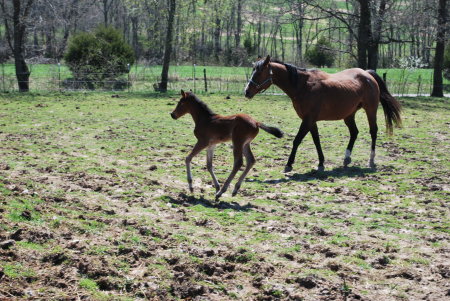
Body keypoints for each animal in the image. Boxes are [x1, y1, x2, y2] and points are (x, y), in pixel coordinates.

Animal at [244, 55, 402, 172]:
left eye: (259, 72)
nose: (247, 92)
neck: (303, 86)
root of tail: (367, 74)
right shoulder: (311, 120)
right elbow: (316, 141)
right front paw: (321, 163)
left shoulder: (308, 120)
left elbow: (297, 140)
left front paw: (289, 164)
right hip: (349, 115)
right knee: (354, 132)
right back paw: (347, 158)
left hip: (371, 110)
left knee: (373, 131)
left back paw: (371, 160)